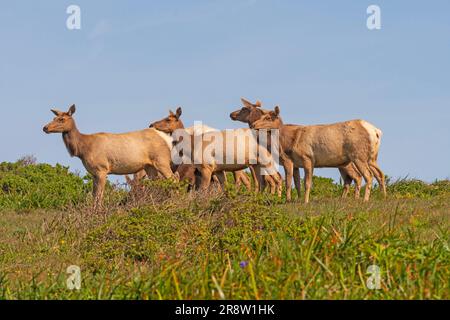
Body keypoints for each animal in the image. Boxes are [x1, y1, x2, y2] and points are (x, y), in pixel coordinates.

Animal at [42, 105, 176, 210]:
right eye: (54, 118)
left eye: (62, 119)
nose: (45, 127)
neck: (82, 149)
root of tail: (167, 139)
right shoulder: (93, 173)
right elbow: (94, 194)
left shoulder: (102, 169)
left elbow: (99, 195)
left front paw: (98, 212)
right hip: (149, 166)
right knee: (158, 182)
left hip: (161, 160)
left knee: (173, 179)